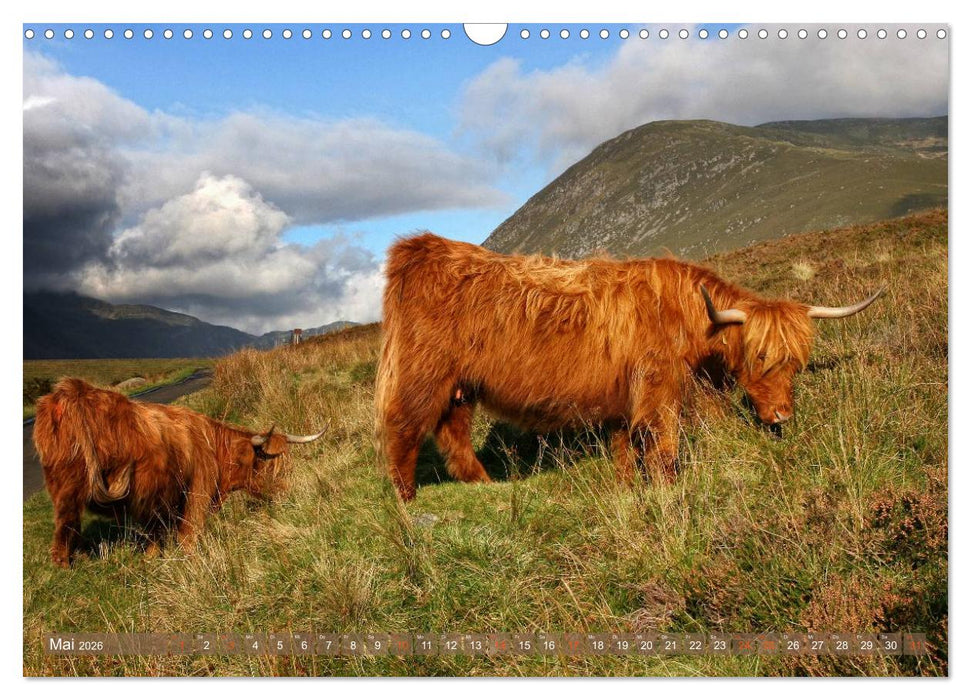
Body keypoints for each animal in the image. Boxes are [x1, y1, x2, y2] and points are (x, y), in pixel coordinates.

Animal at [33, 378, 326, 567]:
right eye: (268, 465)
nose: (288, 493)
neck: (214, 448)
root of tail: (73, 392)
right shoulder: (197, 493)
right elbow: (189, 534)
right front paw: (189, 560)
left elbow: (155, 534)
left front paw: (151, 559)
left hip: (64, 487)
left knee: (65, 527)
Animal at [374, 232, 883, 501]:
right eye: (760, 357)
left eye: (796, 363)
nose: (781, 416)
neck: (686, 316)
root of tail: (422, 248)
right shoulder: (659, 388)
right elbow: (664, 446)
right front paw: (668, 489)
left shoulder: (625, 397)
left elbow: (625, 446)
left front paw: (625, 486)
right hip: (423, 373)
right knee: (403, 427)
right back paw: (407, 499)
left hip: (460, 384)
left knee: (452, 431)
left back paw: (487, 486)